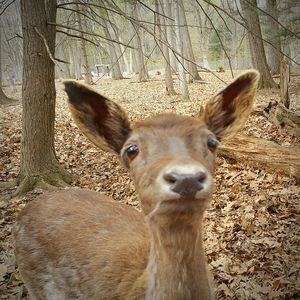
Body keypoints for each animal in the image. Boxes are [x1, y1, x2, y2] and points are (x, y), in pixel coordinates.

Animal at [12, 70, 258, 300]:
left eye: (212, 142)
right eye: (131, 149)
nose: (185, 177)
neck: (137, 288)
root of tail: (25, 209)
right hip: (33, 284)